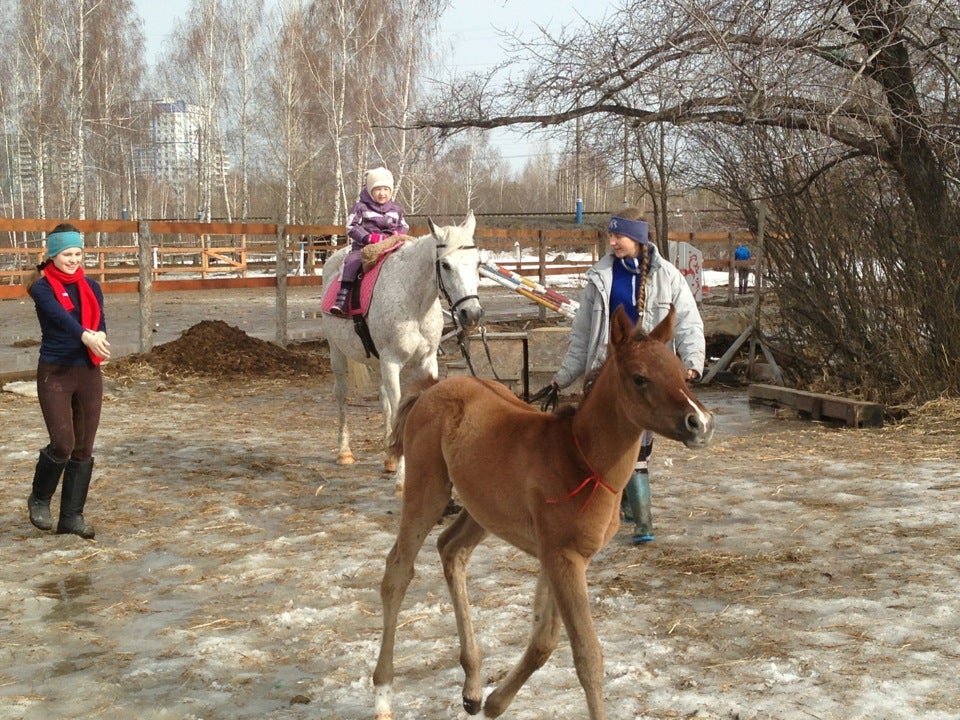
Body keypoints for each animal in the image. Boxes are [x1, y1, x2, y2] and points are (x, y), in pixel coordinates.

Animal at [318, 210, 484, 490]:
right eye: (445, 265)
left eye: (477, 263)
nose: (470, 313)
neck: (414, 301)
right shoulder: (392, 362)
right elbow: (399, 409)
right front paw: (403, 478)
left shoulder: (426, 361)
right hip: (337, 354)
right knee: (341, 395)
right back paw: (344, 453)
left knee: (383, 400)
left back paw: (389, 458)